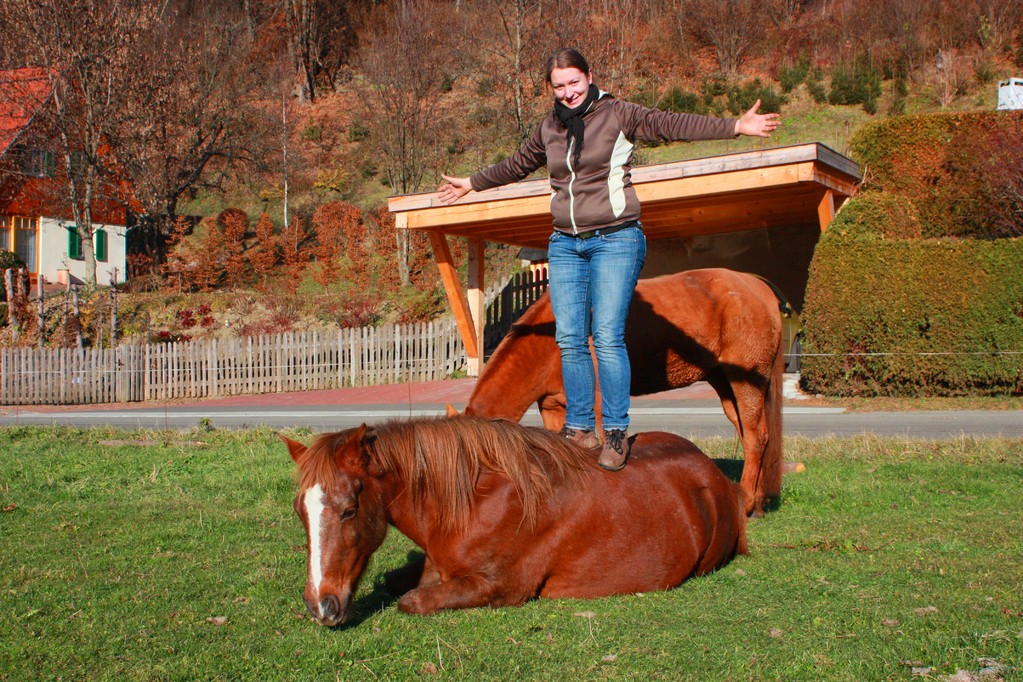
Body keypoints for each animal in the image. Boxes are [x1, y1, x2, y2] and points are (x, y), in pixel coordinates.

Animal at [284, 413, 748, 625]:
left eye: (349, 509)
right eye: (300, 513)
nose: (320, 606)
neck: (474, 503)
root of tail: (715, 476)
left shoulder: (502, 588)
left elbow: (410, 600)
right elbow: (397, 581)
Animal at [460, 269, 785, 515]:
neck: (549, 341)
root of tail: (760, 288)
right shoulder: (553, 408)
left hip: (745, 382)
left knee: (756, 437)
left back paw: (747, 501)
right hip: (723, 382)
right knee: (750, 435)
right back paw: (757, 502)